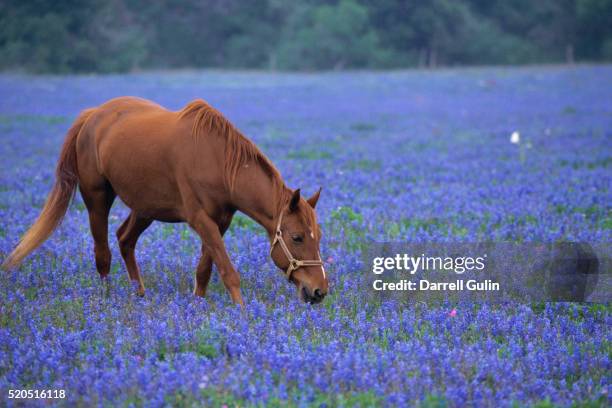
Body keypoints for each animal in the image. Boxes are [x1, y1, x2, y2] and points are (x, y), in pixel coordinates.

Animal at [2, 97, 328, 304]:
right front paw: (243, 316)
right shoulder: (200, 219)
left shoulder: (221, 221)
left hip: (145, 207)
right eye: (297, 237)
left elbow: (205, 269)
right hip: (97, 198)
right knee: (103, 253)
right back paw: (107, 302)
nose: (319, 290)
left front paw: (197, 306)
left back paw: (140, 295)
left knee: (125, 240)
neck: (218, 162)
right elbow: (227, 271)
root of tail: (93, 114)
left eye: (318, 235)